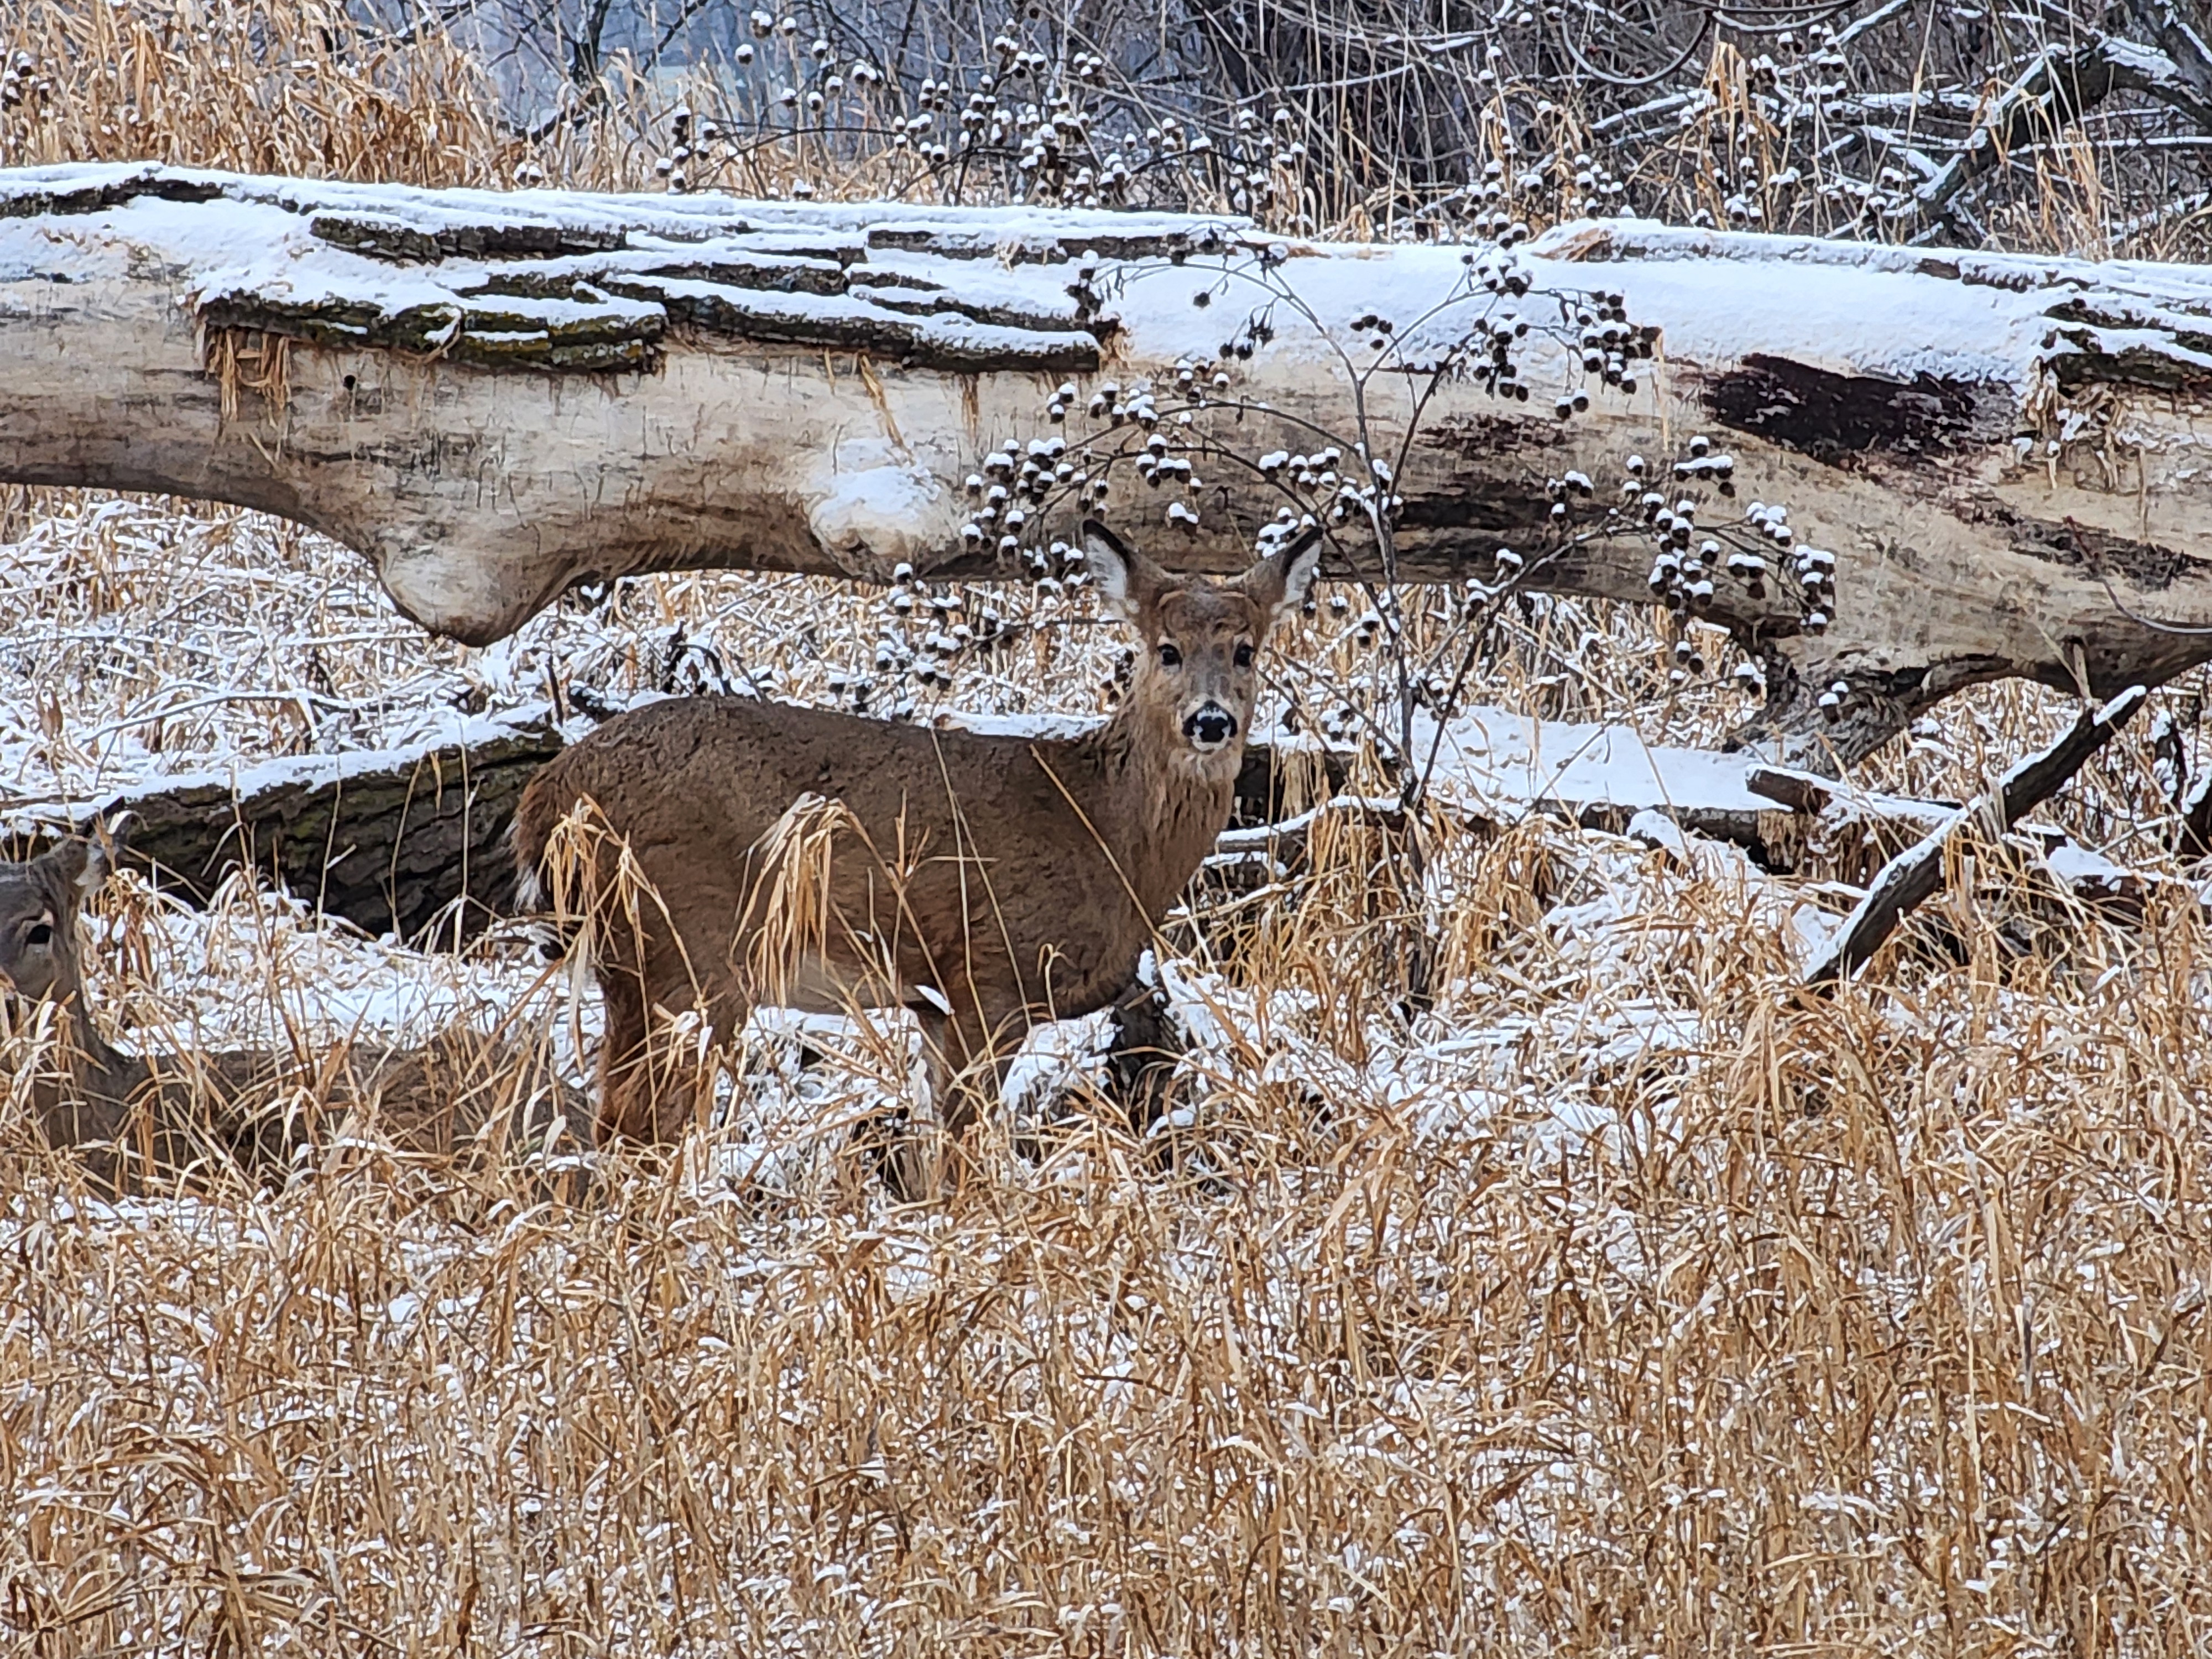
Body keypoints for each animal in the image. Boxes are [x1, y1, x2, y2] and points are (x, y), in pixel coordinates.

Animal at [512, 518, 1322, 1184]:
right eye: (1167, 651)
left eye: (1245, 651)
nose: (1211, 722)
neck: (1104, 832)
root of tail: (548, 795)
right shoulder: (987, 974)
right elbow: (962, 1153)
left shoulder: (930, 1001)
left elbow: (931, 1149)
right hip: (684, 948)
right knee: (637, 1125)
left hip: (636, 962)